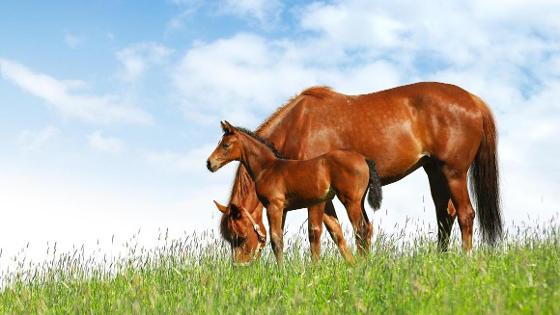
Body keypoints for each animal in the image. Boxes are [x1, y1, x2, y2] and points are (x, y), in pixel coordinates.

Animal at [208, 122, 382, 266]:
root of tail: (364, 158)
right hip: (358, 201)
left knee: (360, 229)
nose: (209, 163)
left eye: (226, 145)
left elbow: (276, 240)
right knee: (366, 228)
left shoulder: (274, 206)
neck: (267, 168)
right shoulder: (283, 209)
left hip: (350, 201)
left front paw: (281, 272)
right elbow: (280, 237)